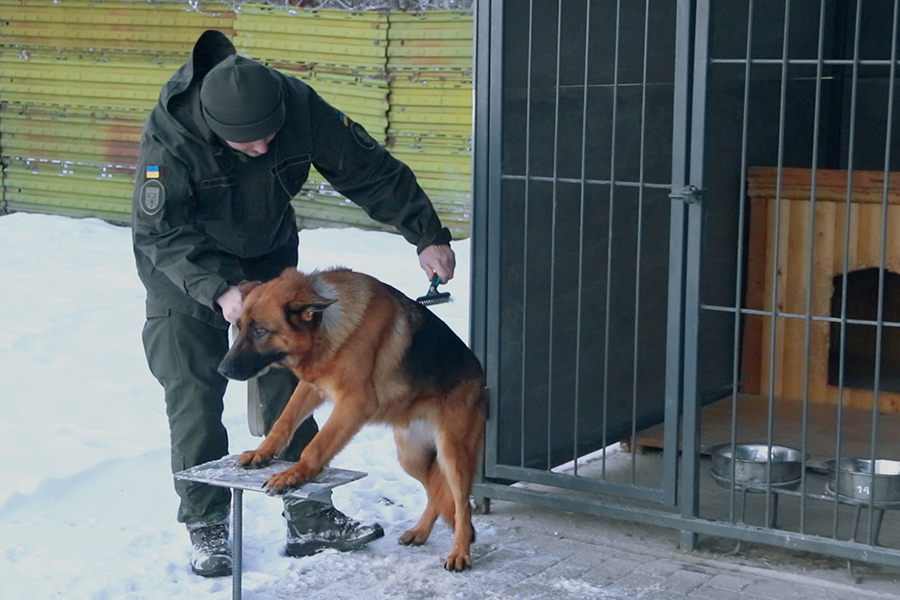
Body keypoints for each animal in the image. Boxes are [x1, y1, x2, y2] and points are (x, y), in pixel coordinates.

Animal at [216, 268, 486, 572]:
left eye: (260, 330)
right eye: (239, 326)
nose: (222, 370)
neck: (324, 329)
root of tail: (482, 380)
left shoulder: (353, 404)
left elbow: (317, 445)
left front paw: (293, 474)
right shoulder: (310, 388)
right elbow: (283, 422)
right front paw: (262, 453)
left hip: (452, 455)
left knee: (461, 504)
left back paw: (460, 552)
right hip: (412, 457)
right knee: (435, 492)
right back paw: (420, 532)